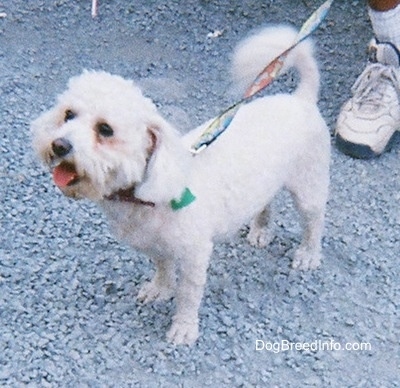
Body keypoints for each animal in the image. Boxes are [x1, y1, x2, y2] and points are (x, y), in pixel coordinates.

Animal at [31, 25, 330, 344]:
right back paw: (261, 231)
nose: (59, 145)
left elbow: (188, 295)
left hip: (309, 186)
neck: (148, 193)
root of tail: (302, 99)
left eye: (105, 130)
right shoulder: (154, 246)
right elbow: (163, 268)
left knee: (314, 221)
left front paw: (184, 328)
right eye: (68, 115)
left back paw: (308, 255)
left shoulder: (194, 255)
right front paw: (160, 289)